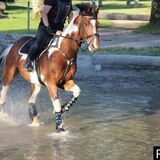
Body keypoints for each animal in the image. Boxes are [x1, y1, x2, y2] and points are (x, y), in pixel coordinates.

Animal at [0, 3, 99, 132]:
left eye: (98, 24)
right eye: (86, 24)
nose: (95, 46)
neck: (65, 53)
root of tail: (13, 44)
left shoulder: (64, 81)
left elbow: (77, 91)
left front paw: (64, 108)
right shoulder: (51, 83)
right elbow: (56, 105)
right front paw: (60, 128)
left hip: (36, 83)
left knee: (31, 100)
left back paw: (35, 121)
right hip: (9, 74)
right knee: (3, 95)